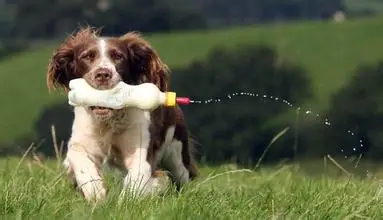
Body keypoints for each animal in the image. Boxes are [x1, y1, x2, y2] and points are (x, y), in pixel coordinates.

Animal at [46, 27, 200, 201]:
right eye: (87, 56)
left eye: (118, 56)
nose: (103, 74)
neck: (110, 120)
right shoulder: (82, 141)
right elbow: (79, 159)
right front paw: (96, 192)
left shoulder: (140, 149)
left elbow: (137, 181)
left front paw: (147, 189)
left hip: (177, 152)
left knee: (183, 175)